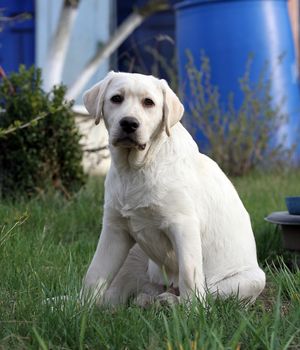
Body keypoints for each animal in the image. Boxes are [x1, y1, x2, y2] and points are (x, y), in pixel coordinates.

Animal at [81, 72, 264, 306]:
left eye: (148, 102)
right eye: (116, 99)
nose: (129, 123)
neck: (136, 168)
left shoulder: (183, 225)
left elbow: (189, 275)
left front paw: (192, 310)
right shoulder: (115, 230)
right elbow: (94, 274)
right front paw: (79, 308)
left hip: (253, 279)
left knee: (207, 291)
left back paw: (169, 301)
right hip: (134, 253)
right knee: (118, 293)